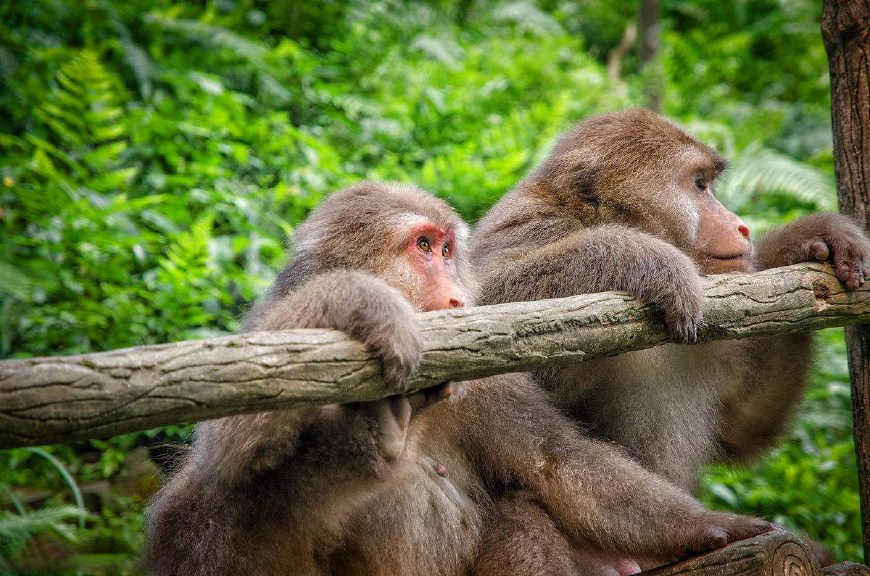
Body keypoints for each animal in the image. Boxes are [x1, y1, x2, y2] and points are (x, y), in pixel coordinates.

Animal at [143, 180, 776, 576]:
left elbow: (557, 462)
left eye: (448, 250)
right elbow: (232, 445)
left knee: (520, 514)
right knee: (219, 496)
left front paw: (715, 528)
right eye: (423, 246)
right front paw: (364, 300)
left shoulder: (483, 377)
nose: (453, 293)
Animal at [474, 108, 870, 496]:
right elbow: (488, 307)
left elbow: (742, 425)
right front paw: (652, 260)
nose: (740, 225)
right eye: (699, 184)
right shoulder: (532, 226)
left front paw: (805, 239)